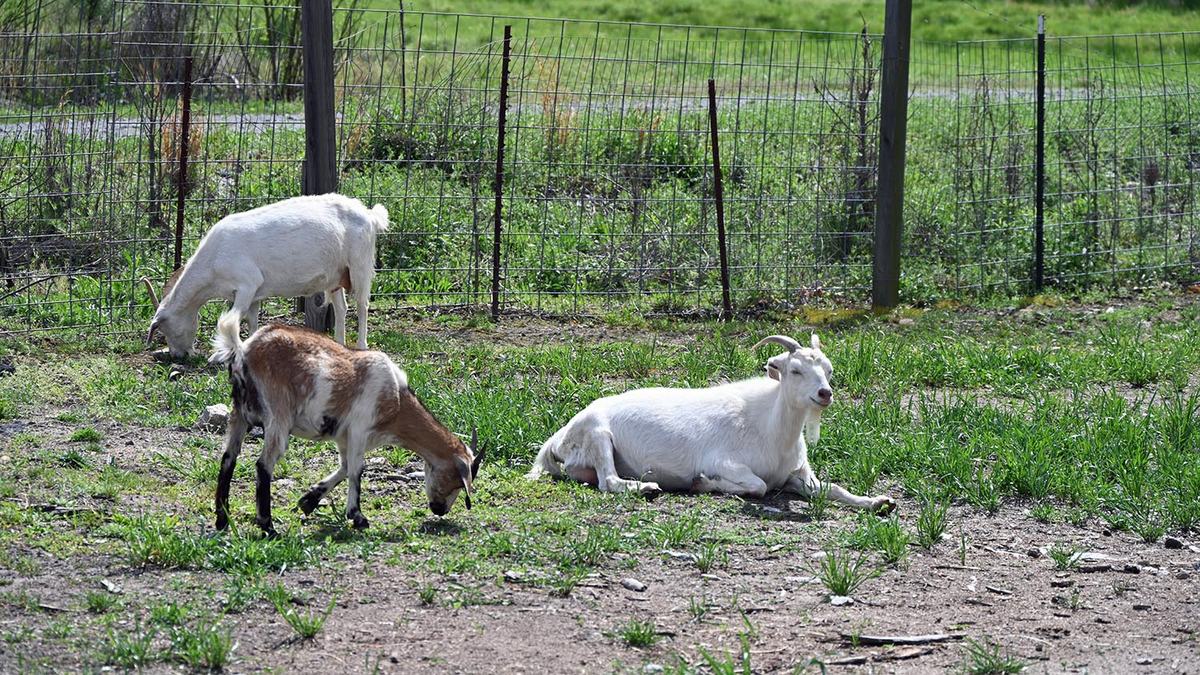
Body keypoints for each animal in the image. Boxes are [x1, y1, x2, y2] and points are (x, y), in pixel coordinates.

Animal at [144, 193, 388, 359]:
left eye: (165, 328)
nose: (178, 355)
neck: (213, 258)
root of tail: (369, 215)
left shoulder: (247, 284)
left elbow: (232, 320)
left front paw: (228, 352)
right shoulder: (254, 295)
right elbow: (252, 321)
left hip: (359, 265)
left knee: (362, 305)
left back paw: (361, 345)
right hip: (335, 276)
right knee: (341, 308)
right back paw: (338, 344)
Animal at [207, 311, 482, 535]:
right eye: (457, 480)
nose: (440, 510)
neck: (396, 399)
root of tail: (244, 350)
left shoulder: (343, 435)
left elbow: (344, 466)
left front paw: (309, 501)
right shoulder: (360, 428)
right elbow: (356, 470)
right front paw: (358, 517)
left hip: (239, 414)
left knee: (228, 459)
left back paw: (222, 519)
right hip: (278, 414)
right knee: (263, 465)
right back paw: (267, 525)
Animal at [527, 334, 894, 513]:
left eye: (828, 370)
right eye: (795, 370)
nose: (824, 393)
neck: (771, 429)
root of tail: (557, 439)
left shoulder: (797, 476)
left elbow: (833, 488)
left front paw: (878, 503)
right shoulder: (724, 460)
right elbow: (758, 486)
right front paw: (703, 483)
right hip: (598, 434)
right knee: (608, 481)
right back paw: (646, 488)